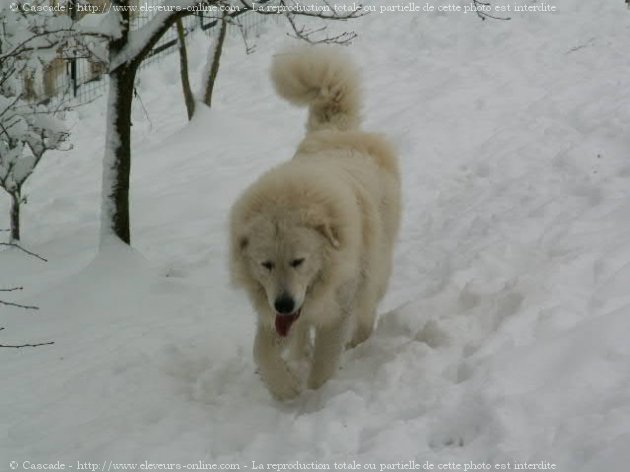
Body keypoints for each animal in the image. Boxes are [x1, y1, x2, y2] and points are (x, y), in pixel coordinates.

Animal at [230, 46, 402, 398]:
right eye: (266, 264)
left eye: (299, 261)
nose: (284, 304)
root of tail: (336, 130)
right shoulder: (273, 310)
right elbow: (262, 351)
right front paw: (285, 389)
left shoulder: (339, 305)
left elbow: (326, 356)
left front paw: (317, 395)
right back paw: (300, 354)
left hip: (377, 261)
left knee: (368, 304)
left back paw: (359, 339)